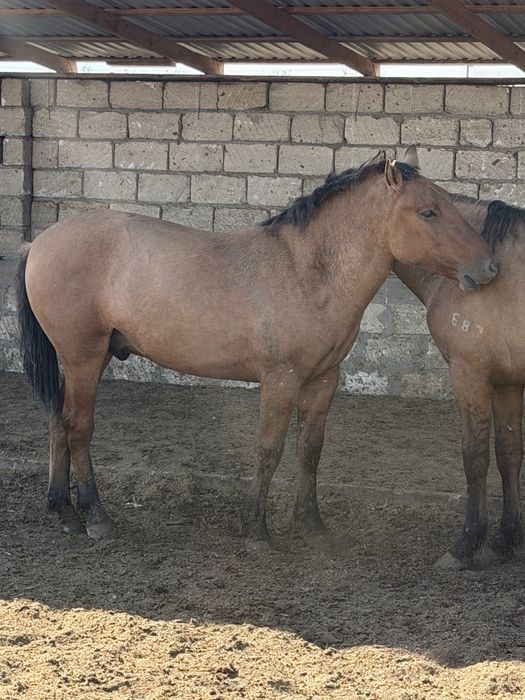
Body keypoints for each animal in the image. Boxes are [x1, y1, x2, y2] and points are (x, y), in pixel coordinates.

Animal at [16, 151, 497, 542]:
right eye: (429, 211)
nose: (489, 267)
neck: (308, 272)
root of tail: (39, 242)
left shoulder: (324, 379)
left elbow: (310, 450)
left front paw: (312, 525)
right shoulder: (280, 379)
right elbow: (270, 449)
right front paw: (257, 529)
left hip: (87, 359)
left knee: (59, 420)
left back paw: (63, 511)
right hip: (83, 356)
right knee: (79, 427)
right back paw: (96, 516)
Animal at [394, 172, 525, 569]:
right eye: (429, 211)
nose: (487, 269)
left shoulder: (470, 375)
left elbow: (475, 457)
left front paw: (468, 543)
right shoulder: (507, 382)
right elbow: (508, 454)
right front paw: (506, 538)